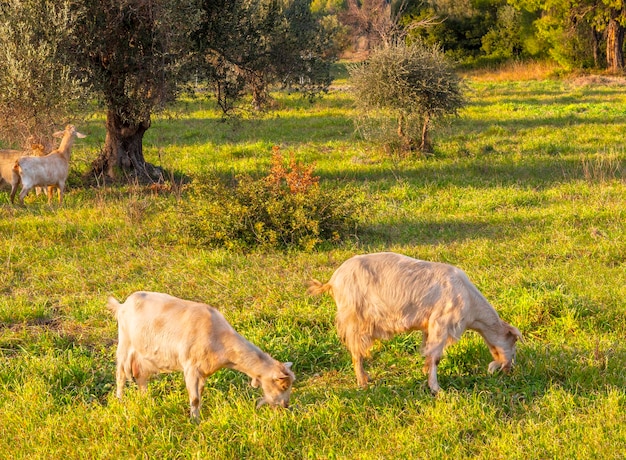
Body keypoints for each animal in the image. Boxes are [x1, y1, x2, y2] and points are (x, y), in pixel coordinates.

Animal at [106, 292, 294, 420]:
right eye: (283, 386)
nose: (286, 405)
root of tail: (123, 305)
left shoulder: (203, 371)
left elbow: (200, 393)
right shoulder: (190, 367)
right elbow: (195, 398)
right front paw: (194, 421)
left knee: (140, 377)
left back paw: (146, 401)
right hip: (124, 345)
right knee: (120, 375)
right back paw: (120, 400)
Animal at [304, 253, 520, 394]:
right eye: (514, 343)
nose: (509, 370)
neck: (470, 303)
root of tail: (332, 281)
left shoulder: (429, 325)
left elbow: (428, 352)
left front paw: (425, 372)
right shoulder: (441, 323)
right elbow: (436, 357)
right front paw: (436, 388)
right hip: (355, 319)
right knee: (356, 352)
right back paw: (363, 382)